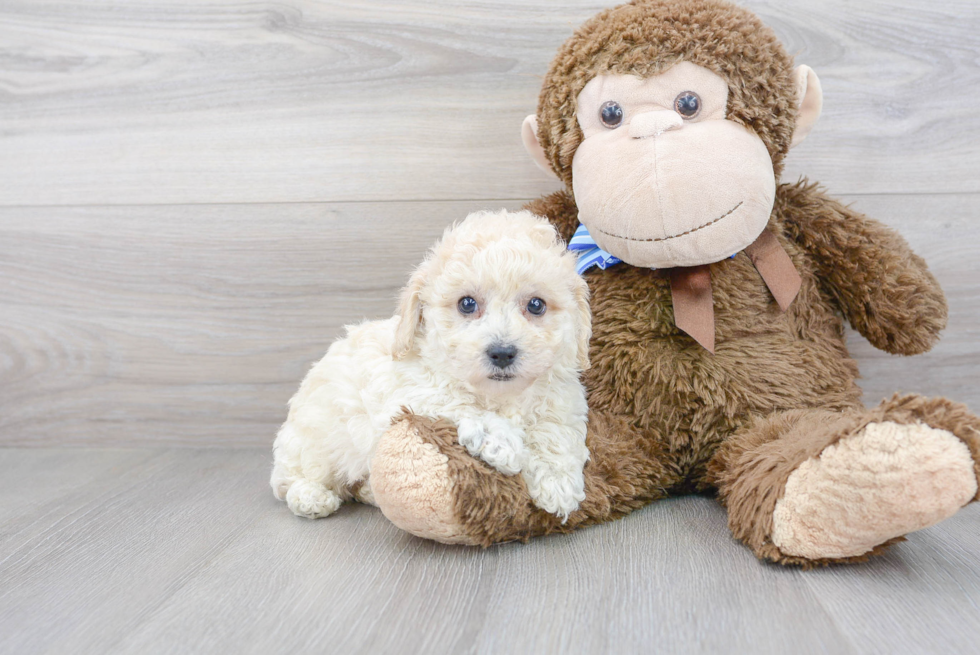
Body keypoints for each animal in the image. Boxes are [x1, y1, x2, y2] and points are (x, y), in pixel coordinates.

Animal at [268, 209, 588, 524]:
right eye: (467, 304)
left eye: (536, 305)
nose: (502, 353)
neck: (499, 395)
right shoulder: (412, 393)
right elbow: (461, 404)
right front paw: (503, 444)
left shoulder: (561, 399)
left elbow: (553, 430)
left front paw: (558, 483)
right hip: (311, 441)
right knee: (289, 479)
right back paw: (311, 496)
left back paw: (370, 490)